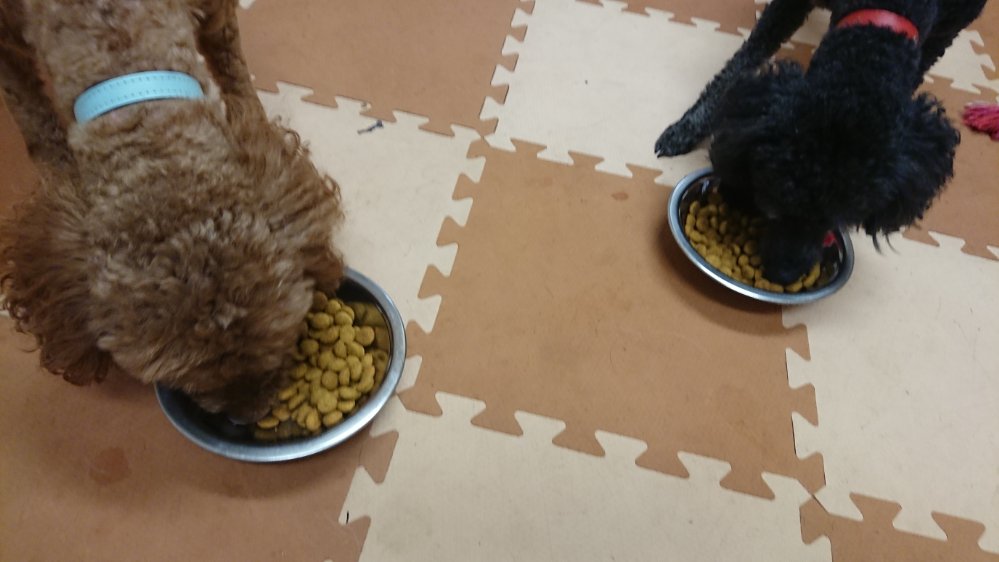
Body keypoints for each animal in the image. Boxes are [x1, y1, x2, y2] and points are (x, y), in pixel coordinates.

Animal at [0, 0, 344, 422]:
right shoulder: (7, 44)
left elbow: (229, 57)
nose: (248, 415)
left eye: (279, 346)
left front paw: (251, 110)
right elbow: (34, 122)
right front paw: (55, 164)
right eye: (193, 379)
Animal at [655, 0, 987, 284]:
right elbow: (740, 64)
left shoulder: (940, 36)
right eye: (774, 205)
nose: (783, 275)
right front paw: (688, 126)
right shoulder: (787, 7)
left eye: (840, 220)